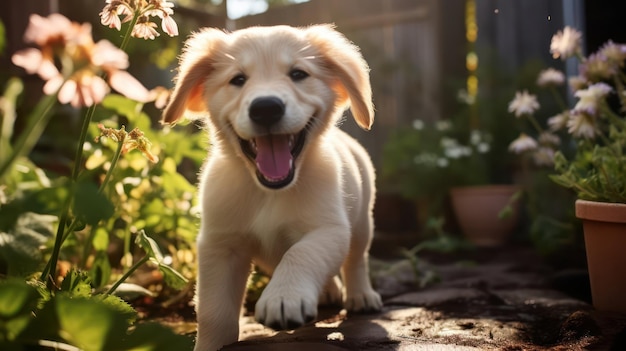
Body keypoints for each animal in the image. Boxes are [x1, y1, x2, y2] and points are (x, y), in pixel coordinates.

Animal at [161, 24, 380, 351]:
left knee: (356, 259)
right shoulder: (220, 244)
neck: (267, 192)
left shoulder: (329, 229)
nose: (266, 108)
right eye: (238, 79)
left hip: (363, 222)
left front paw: (283, 296)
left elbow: (301, 252)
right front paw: (211, 343)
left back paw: (361, 295)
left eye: (298, 74)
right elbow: (214, 312)